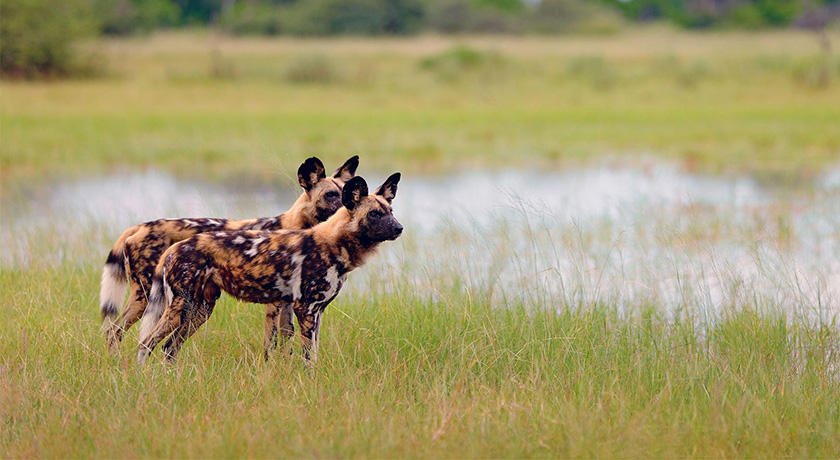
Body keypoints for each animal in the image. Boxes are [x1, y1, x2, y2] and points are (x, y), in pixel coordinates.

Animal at [100, 156, 360, 350]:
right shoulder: (274, 305)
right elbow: (271, 345)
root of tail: (140, 226)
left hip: (200, 307)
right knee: (114, 331)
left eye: (346, 192)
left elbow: (287, 343)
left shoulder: (288, 305)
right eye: (330, 195)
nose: (349, 209)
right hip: (148, 297)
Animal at [135, 173, 404, 366]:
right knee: (146, 344)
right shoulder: (305, 309)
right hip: (179, 308)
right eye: (374, 213)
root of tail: (176, 247)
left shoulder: (317, 312)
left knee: (169, 348)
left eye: (390, 212)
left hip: (199, 310)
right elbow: (307, 359)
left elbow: (313, 355)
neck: (334, 243)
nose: (399, 228)